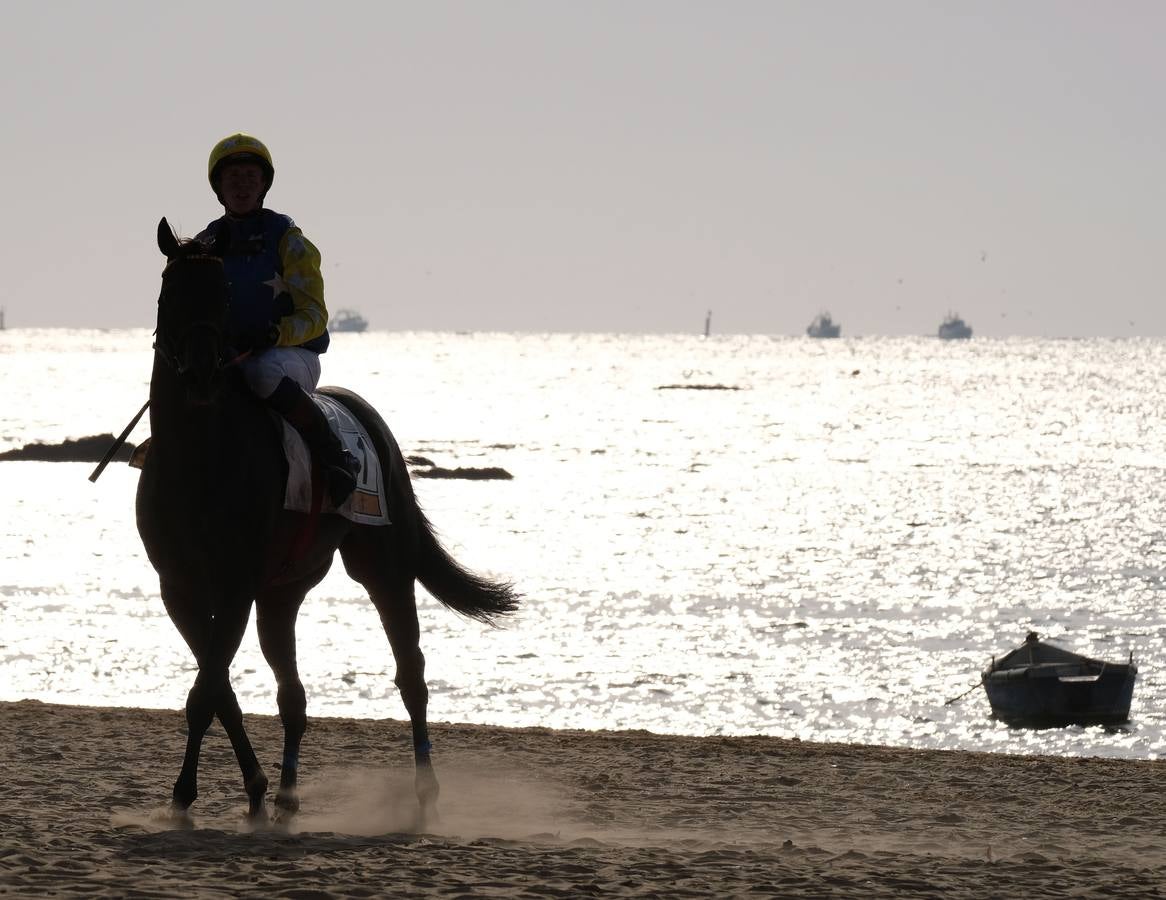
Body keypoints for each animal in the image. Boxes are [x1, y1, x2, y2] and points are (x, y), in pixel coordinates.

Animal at [136, 218, 520, 820]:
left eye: (221, 296)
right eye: (169, 292)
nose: (199, 375)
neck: (201, 457)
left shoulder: (235, 586)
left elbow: (207, 692)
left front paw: (189, 793)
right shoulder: (179, 588)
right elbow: (219, 691)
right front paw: (246, 788)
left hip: (383, 568)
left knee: (411, 675)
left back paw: (425, 792)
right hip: (282, 592)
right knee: (292, 694)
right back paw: (288, 793)